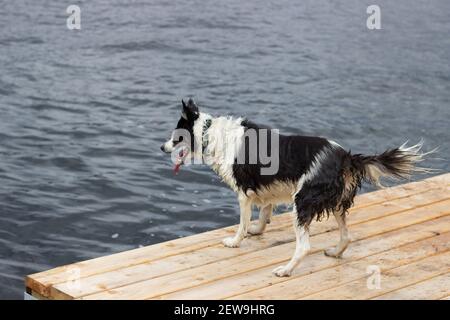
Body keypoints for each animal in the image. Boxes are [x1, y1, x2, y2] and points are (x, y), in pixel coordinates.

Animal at [161, 99, 428, 276]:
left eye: (176, 136)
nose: (162, 148)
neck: (209, 133)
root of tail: (345, 156)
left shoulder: (243, 193)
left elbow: (243, 224)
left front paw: (236, 242)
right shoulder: (266, 187)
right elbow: (264, 211)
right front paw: (258, 230)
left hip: (302, 202)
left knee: (304, 246)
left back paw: (285, 270)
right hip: (336, 203)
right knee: (346, 235)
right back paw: (335, 253)